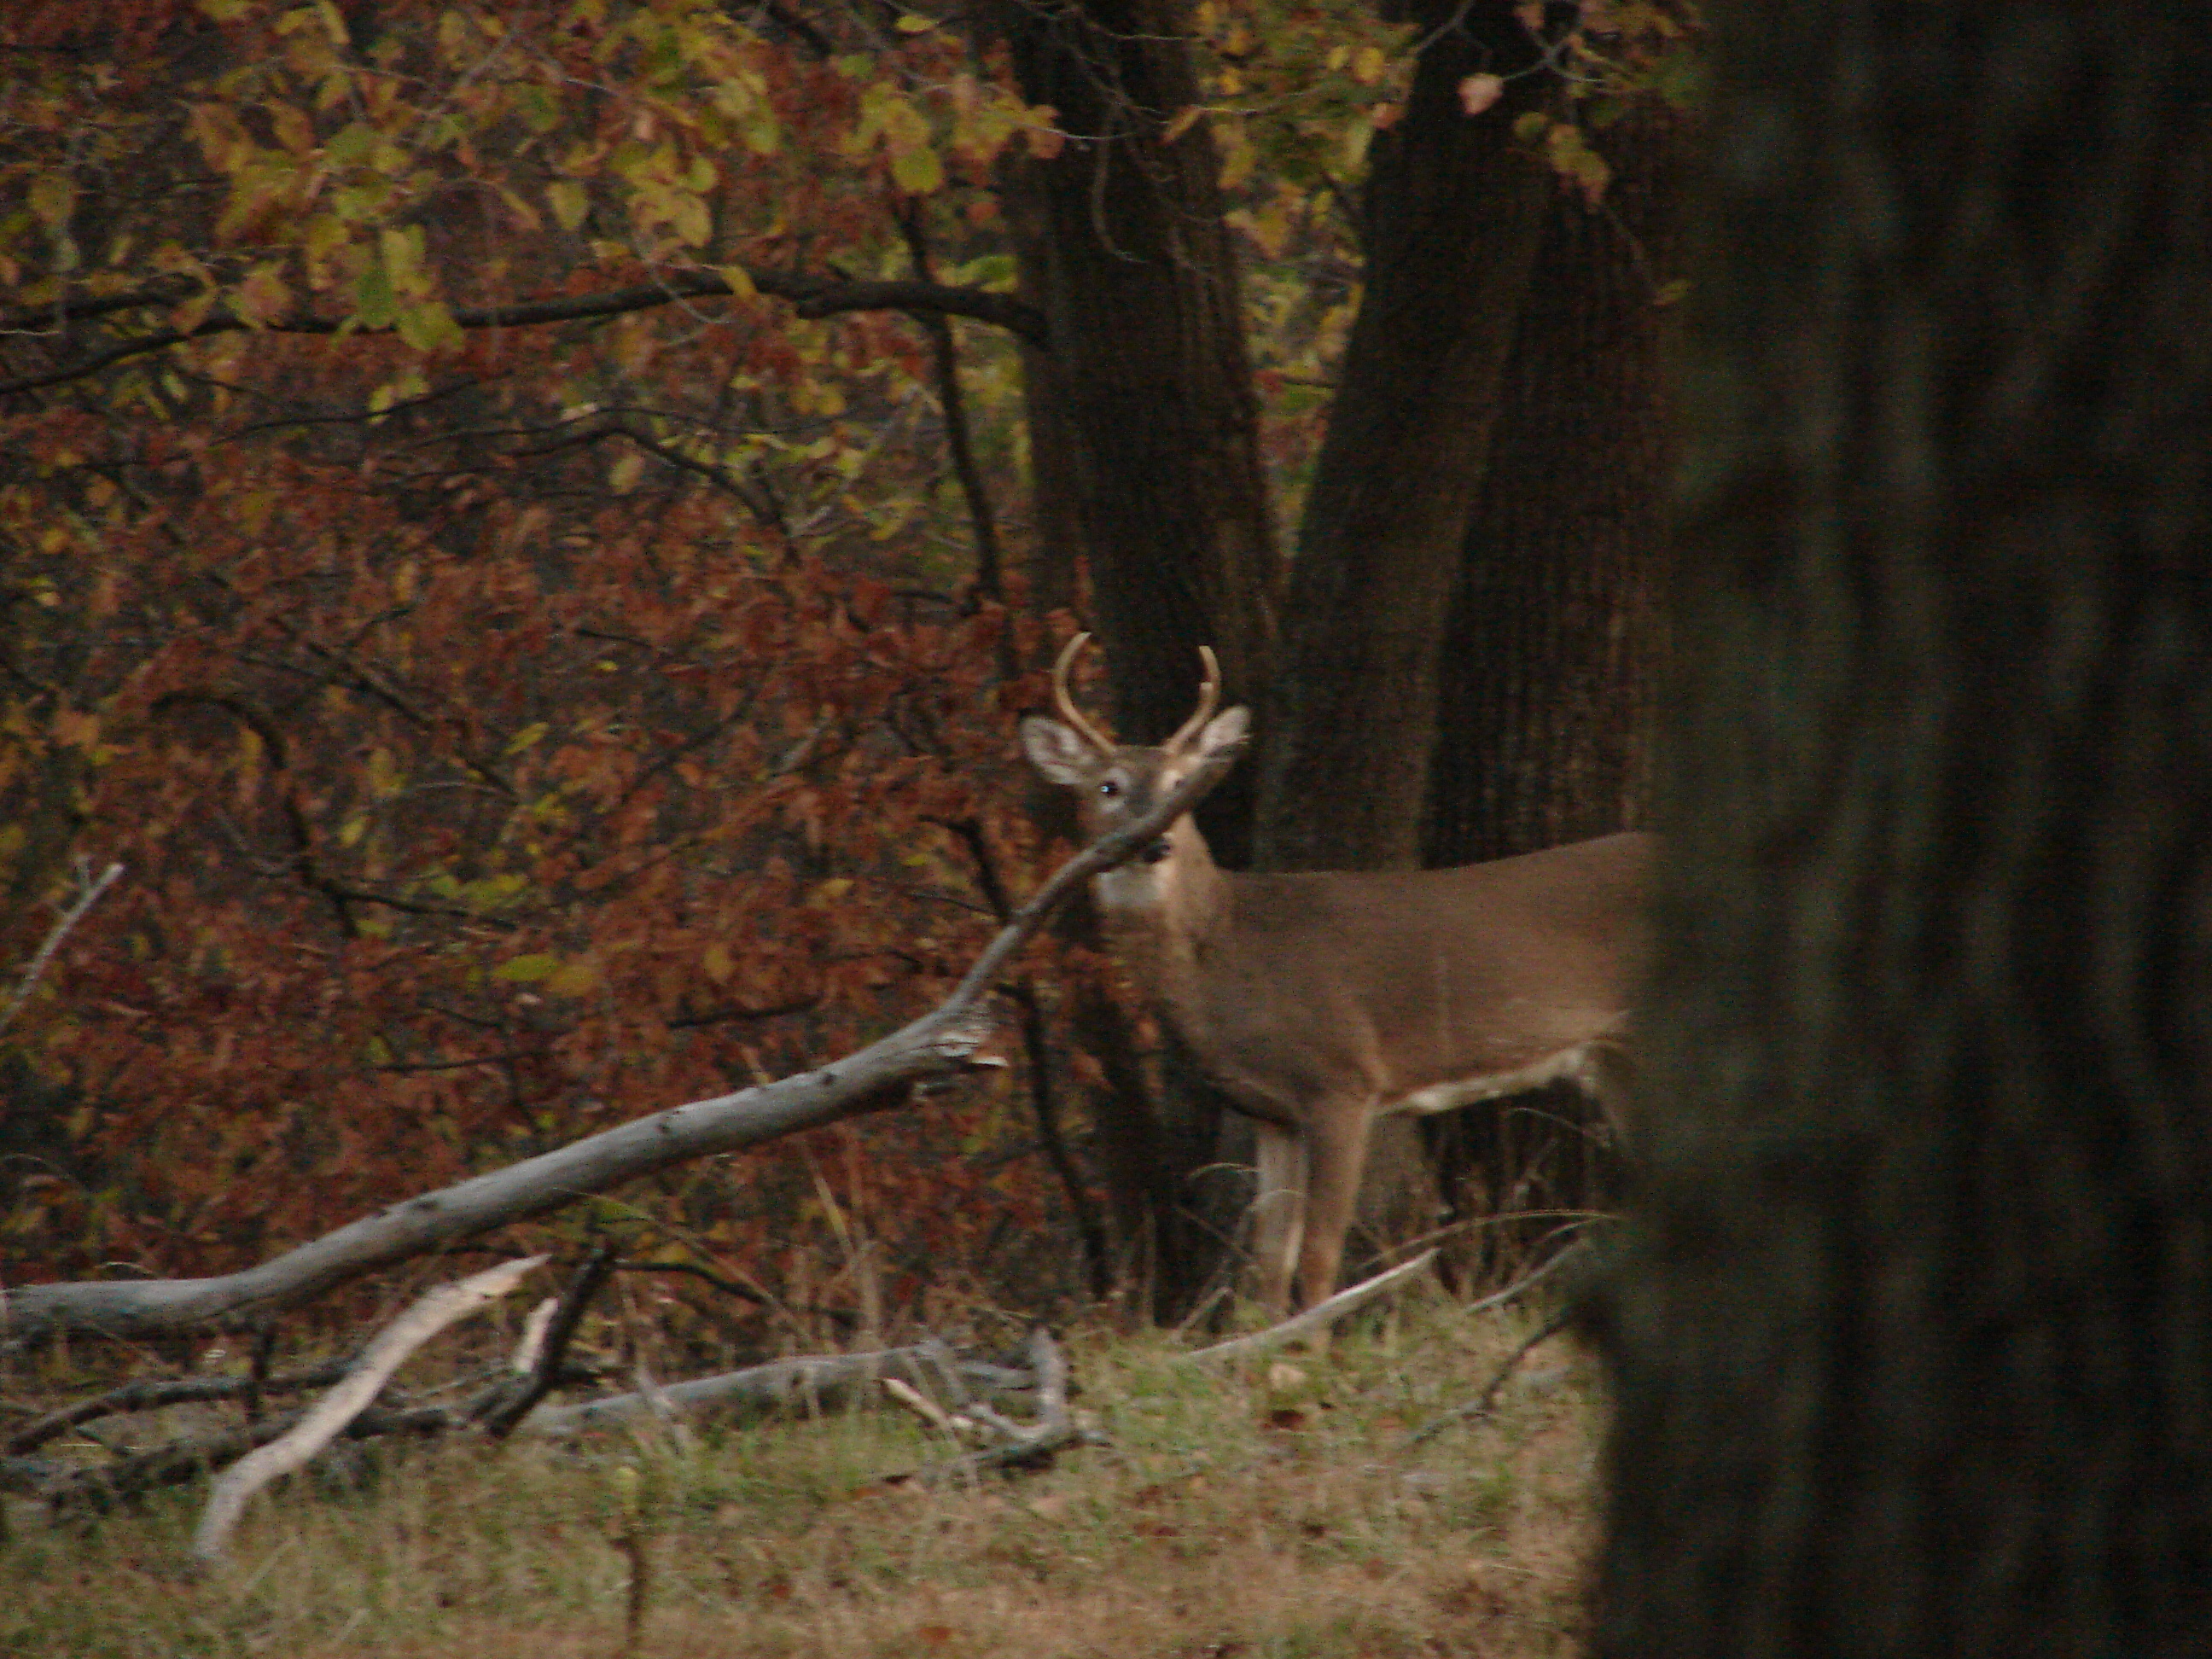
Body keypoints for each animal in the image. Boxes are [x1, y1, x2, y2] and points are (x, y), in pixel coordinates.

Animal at [1017, 637, 1645, 1327]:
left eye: (1182, 784)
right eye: (1109, 786)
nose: (1155, 844)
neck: (1230, 955)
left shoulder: (1343, 1078)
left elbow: (1320, 1253)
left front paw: (1309, 1347)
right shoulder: (1272, 1111)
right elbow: (1270, 1259)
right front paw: (1265, 1346)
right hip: (1615, 1058)